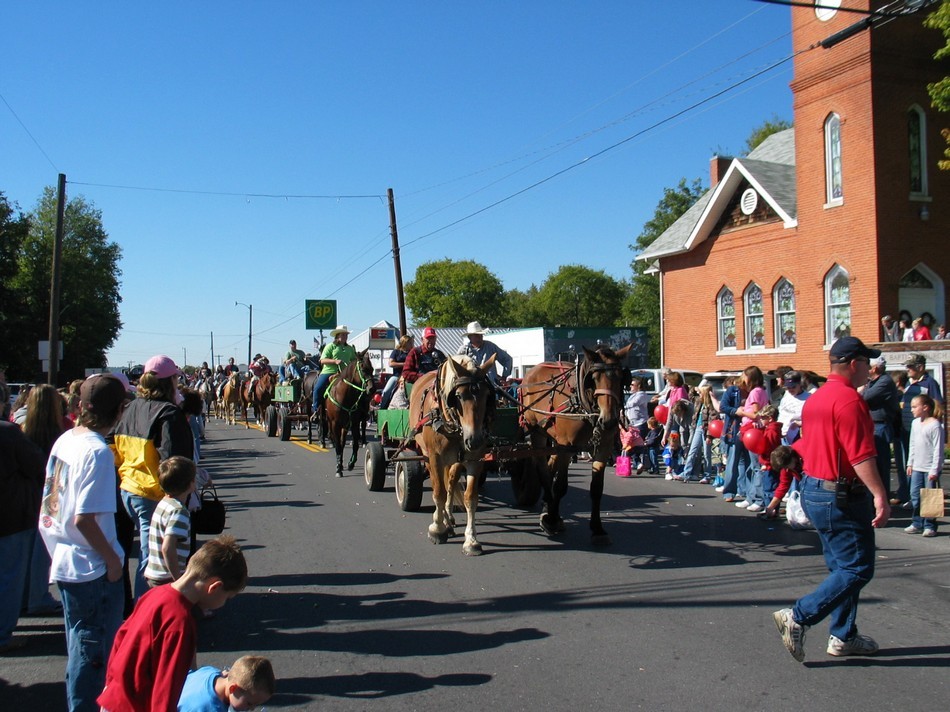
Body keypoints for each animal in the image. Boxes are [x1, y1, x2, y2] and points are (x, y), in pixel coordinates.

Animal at [324, 348, 376, 476]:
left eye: (372, 369)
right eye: (363, 369)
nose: (372, 389)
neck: (344, 397)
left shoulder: (354, 423)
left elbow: (355, 444)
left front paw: (351, 463)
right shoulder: (335, 424)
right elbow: (338, 445)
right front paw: (338, 468)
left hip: (346, 425)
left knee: (343, 442)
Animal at [410, 354, 498, 556]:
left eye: (487, 395)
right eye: (458, 396)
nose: (474, 440)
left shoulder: (475, 459)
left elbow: (470, 497)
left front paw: (471, 540)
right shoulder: (435, 457)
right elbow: (438, 493)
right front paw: (437, 529)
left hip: (455, 460)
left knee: (450, 481)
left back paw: (448, 519)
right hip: (426, 454)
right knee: (440, 486)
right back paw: (442, 521)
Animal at [520, 344, 632, 544]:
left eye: (621, 376)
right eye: (593, 379)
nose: (609, 420)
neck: (585, 407)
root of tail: (532, 370)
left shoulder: (603, 448)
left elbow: (596, 489)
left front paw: (597, 529)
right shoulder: (567, 447)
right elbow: (560, 486)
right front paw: (552, 520)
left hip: (554, 437)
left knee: (550, 466)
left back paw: (547, 506)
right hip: (537, 431)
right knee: (542, 468)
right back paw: (548, 510)